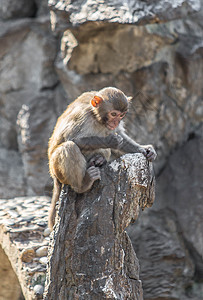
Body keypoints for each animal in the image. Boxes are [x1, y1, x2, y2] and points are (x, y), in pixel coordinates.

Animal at [48, 86, 157, 230]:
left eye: (121, 115)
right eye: (113, 114)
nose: (116, 122)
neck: (96, 116)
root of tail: (54, 176)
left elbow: (121, 136)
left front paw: (145, 150)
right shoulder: (82, 115)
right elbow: (70, 138)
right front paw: (110, 141)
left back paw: (98, 160)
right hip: (56, 168)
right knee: (68, 147)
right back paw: (83, 185)